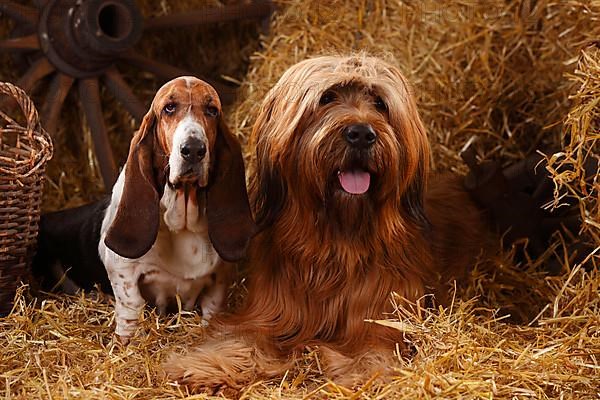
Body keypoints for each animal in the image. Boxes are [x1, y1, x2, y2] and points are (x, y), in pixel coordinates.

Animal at [165, 54, 492, 390]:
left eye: (379, 102)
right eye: (326, 98)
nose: (361, 134)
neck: (337, 240)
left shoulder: (383, 320)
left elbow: (374, 346)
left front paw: (358, 372)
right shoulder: (269, 313)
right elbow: (244, 338)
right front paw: (203, 365)